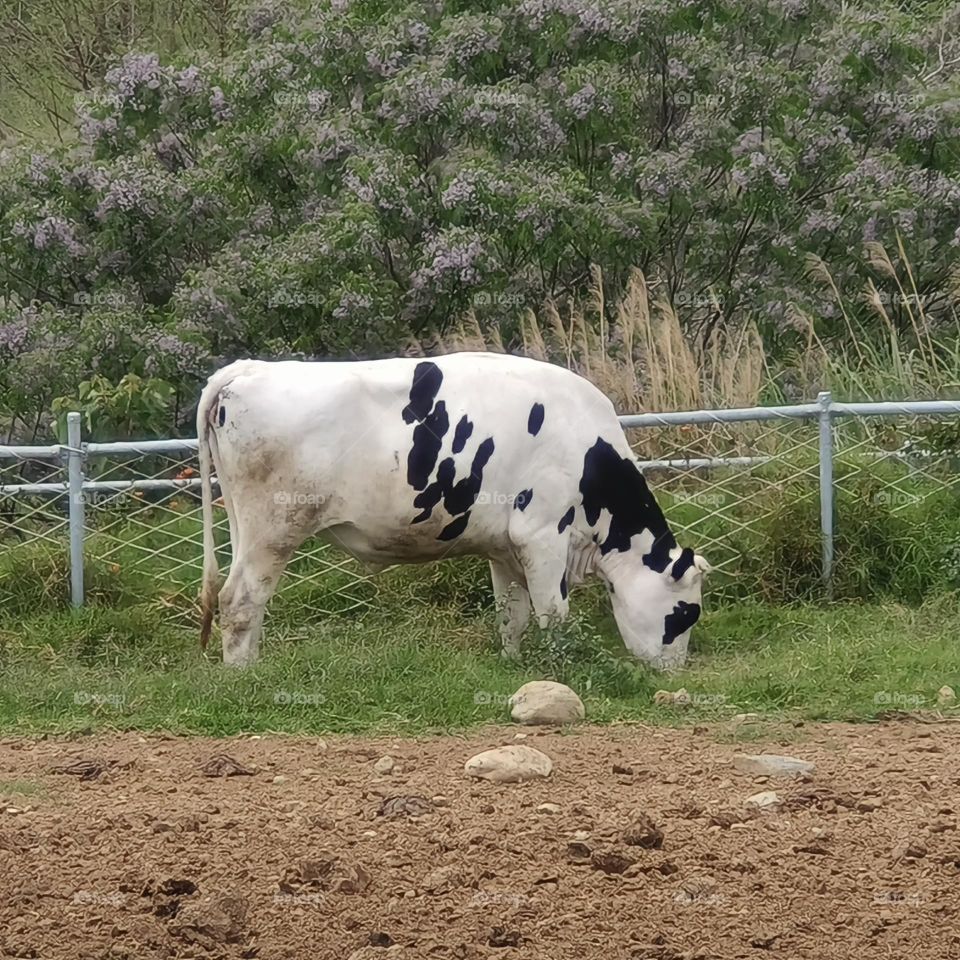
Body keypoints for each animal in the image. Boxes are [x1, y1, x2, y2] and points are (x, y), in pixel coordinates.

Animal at [197, 352, 708, 669]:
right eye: (685, 614)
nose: (674, 670)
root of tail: (246, 369)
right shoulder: (542, 534)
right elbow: (552, 612)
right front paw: (560, 666)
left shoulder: (507, 547)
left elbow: (512, 613)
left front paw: (514, 664)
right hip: (274, 528)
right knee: (240, 599)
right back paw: (243, 675)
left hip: (243, 525)